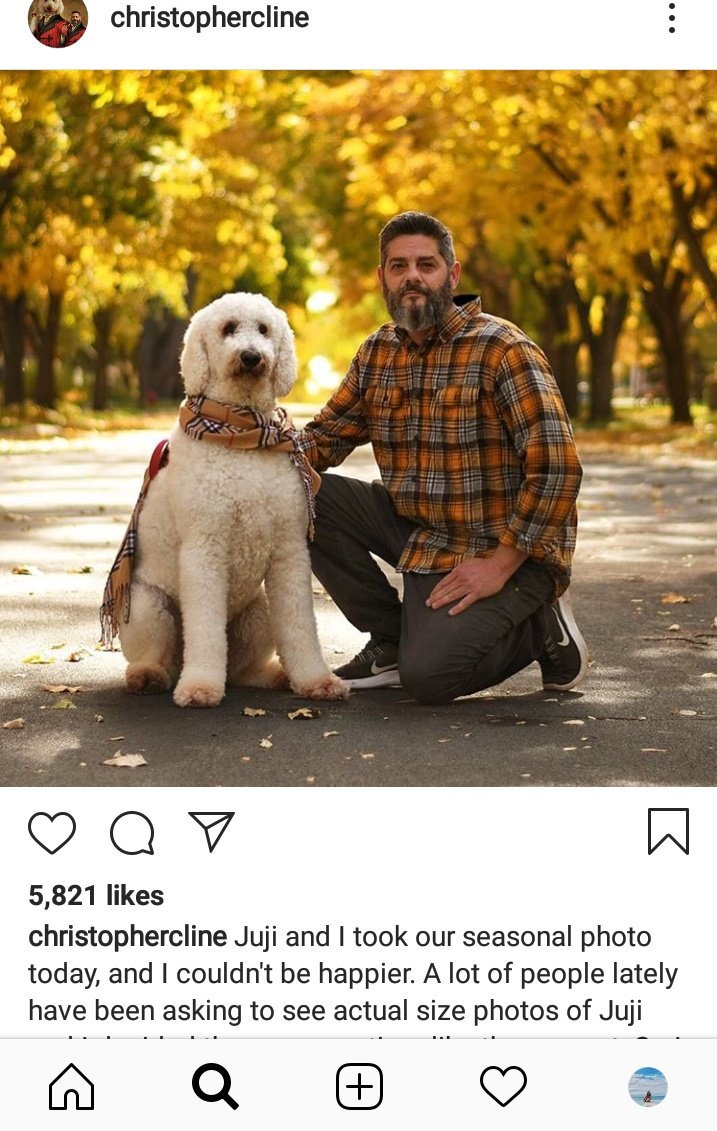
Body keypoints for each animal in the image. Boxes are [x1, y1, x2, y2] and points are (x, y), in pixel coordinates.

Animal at [107, 296, 348, 710]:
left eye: (264, 329)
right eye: (228, 328)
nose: (251, 357)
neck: (243, 432)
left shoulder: (289, 551)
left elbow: (300, 626)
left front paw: (316, 680)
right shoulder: (205, 548)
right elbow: (205, 627)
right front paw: (200, 687)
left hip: (259, 613)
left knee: (243, 671)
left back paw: (274, 676)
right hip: (146, 606)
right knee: (157, 656)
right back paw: (149, 676)